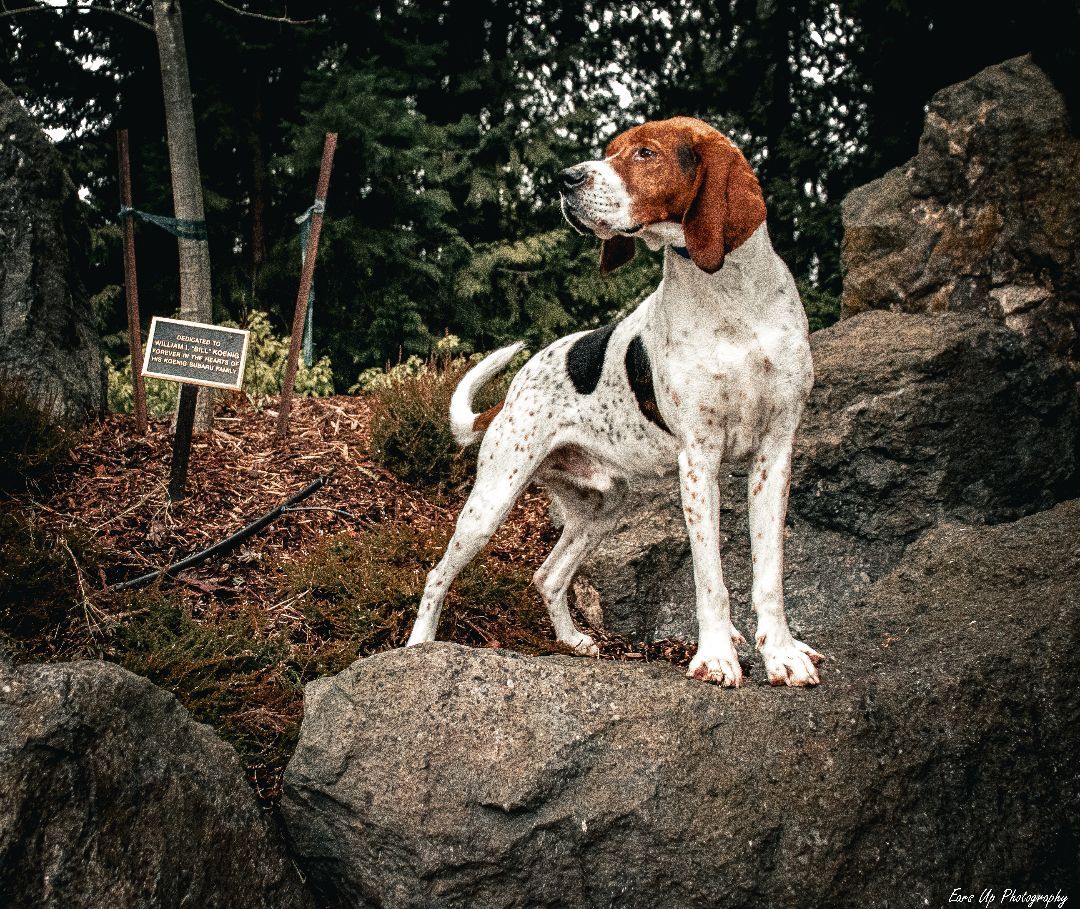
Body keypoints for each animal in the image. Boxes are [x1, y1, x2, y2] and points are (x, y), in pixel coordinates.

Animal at [408, 114, 820, 686]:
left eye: (645, 153)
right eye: (610, 150)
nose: (564, 178)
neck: (730, 297)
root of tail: (511, 393)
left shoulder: (774, 455)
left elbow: (770, 575)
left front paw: (781, 654)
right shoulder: (699, 461)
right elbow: (710, 579)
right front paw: (717, 656)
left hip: (601, 507)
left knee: (548, 576)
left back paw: (571, 640)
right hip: (490, 502)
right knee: (436, 575)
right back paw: (417, 646)